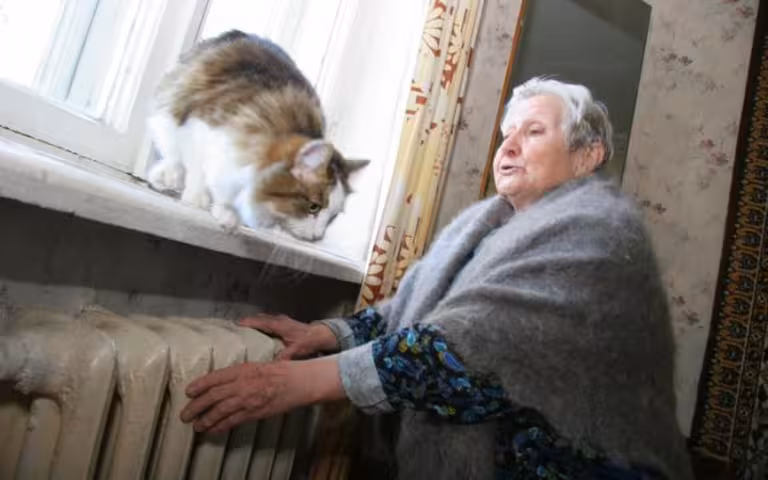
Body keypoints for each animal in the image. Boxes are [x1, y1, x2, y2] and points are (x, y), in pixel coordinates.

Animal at [148, 30, 368, 241]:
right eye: (313, 206)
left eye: (333, 217)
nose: (317, 237)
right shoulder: (199, 127)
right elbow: (198, 170)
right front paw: (199, 199)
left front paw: (229, 215)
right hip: (168, 111)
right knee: (174, 158)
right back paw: (168, 178)